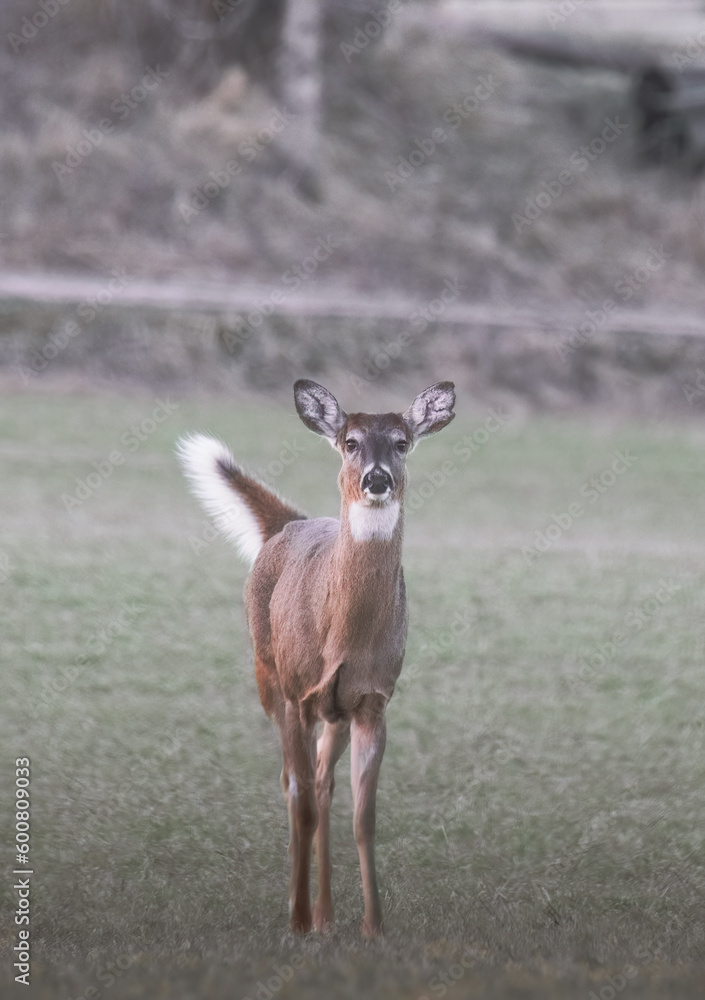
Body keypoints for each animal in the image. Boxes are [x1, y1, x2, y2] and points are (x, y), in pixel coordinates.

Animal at [177, 379, 455, 937]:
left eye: (402, 442)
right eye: (350, 442)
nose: (376, 478)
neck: (343, 635)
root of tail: (290, 523)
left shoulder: (372, 700)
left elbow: (364, 818)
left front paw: (373, 926)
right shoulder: (298, 693)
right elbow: (301, 803)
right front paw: (298, 922)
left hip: (335, 711)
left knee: (324, 783)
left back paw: (328, 915)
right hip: (268, 674)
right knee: (292, 785)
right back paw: (304, 910)